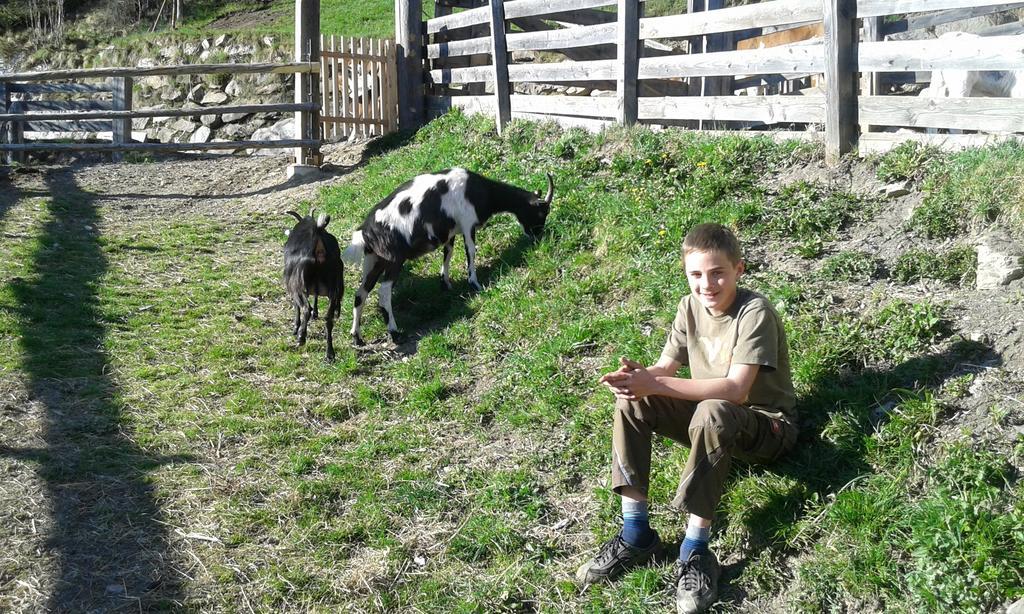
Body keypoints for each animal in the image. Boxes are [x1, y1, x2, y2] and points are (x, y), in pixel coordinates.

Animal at [284, 208, 344, 360]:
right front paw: (316, 314)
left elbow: (297, 306)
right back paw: (330, 354)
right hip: (335, 285)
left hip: (298, 284)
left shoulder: (294, 286)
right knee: (328, 319)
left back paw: (301, 337)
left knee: (306, 308)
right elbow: (316, 297)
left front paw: (295, 328)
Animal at [342, 167, 552, 345]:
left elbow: (448, 254)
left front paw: (445, 284)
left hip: (374, 262)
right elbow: (471, 251)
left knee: (360, 294)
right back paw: (395, 334)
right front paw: (475, 284)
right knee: (383, 292)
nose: (538, 236)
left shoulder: (450, 233)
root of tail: (365, 231)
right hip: (394, 260)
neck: (475, 189)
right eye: (541, 213)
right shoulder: (467, 223)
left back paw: (357, 338)